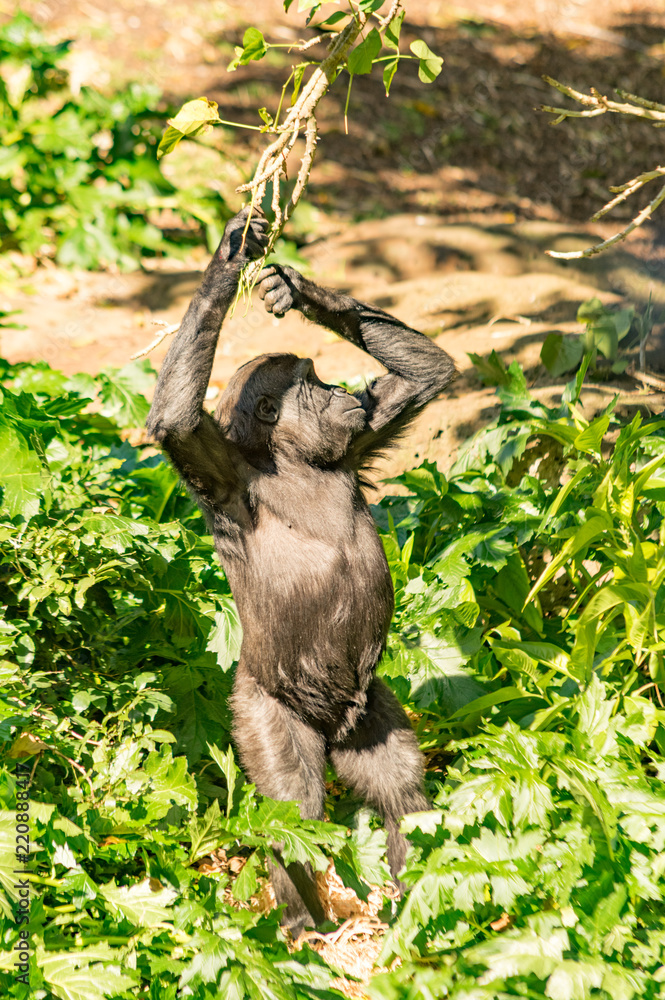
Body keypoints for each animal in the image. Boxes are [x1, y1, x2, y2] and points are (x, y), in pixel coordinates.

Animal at [147, 207, 456, 934]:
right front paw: (232, 253)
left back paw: (410, 912)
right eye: (311, 385)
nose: (337, 387)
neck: (292, 461)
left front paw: (292, 286)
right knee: (294, 813)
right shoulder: (219, 471)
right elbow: (175, 419)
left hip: (368, 709)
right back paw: (295, 932)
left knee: (401, 791)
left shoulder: (362, 433)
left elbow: (425, 374)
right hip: (261, 707)